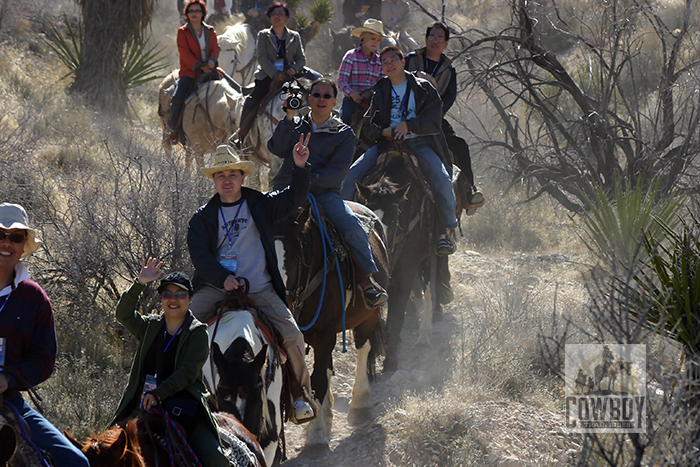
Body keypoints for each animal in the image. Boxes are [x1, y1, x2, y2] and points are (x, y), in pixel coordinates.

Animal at [276, 200, 392, 446]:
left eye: (295, 259)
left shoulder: (324, 335)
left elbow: (318, 379)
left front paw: (316, 433)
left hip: (369, 314)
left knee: (363, 348)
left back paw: (359, 404)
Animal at [356, 148, 442, 372]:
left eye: (393, 219)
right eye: (364, 216)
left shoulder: (406, 268)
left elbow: (396, 315)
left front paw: (391, 360)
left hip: (430, 255)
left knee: (429, 288)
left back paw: (424, 335)